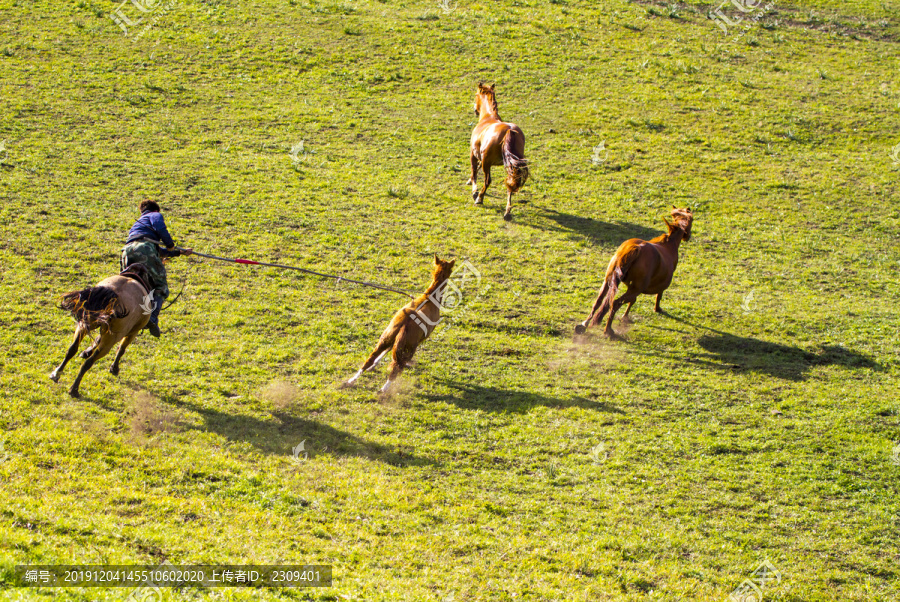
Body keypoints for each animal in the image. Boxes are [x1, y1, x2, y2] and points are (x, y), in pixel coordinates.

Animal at [344, 253, 458, 394]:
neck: (430, 299)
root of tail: (406, 322)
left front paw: (375, 365)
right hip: (408, 348)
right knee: (396, 368)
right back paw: (383, 390)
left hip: (385, 338)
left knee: (370, 359)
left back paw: (352, 380)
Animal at [468, 81, 532, 219]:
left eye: (476, 95)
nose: (475, 110)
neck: (488, 117)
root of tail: (509, 130)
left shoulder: (474, 154)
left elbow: (474, 171)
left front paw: (474, 191)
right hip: (512, 165)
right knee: (511, 183)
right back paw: (507, 211)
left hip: (488, 163)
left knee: (487, 181)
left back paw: (480, 198)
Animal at [572, 205, 692, 338]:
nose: (688, 236)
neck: (669, 243)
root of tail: (636, 248)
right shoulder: (642, 287)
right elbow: (657, 295)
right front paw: (656, 309)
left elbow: (631, 301)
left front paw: (625, 317)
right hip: (636, 288)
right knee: (615, 303)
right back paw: (608, 330)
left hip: (609, 281)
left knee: (599, 301)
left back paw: (584, 324)